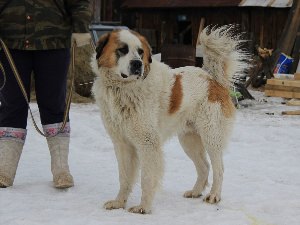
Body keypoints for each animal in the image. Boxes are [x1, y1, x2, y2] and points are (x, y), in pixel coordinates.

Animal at [91, 25, 248, 214]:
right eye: (122, 49)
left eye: (140, 52)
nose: (137, 64)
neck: (123, 89)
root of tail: (213, 78)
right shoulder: (121, 144)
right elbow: (124, 177)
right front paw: (119, 202)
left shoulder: (148, 143)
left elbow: (147, 178)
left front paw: (144, 207)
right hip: (189, 141)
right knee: (204, 166)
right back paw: (195, 191)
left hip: (211, 137)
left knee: (219, 168)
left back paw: (214, 195)